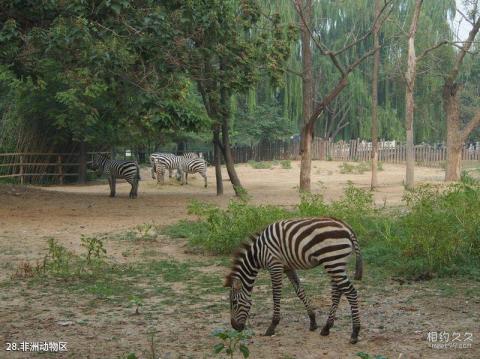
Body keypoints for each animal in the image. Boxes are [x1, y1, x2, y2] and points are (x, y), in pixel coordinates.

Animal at [225, 218, 364, 344]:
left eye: (234, 302)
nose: (235, 327)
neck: (258, 253)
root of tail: (347, 227)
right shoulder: (288, 267)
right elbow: (299, 291)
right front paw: (313, 321)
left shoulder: (275, 265)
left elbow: (276, 295)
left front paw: (272, 326)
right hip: (335, 263)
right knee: (337, 291)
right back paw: (326, 328)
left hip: (333, 261)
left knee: (350, 292)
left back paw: (355, 333)